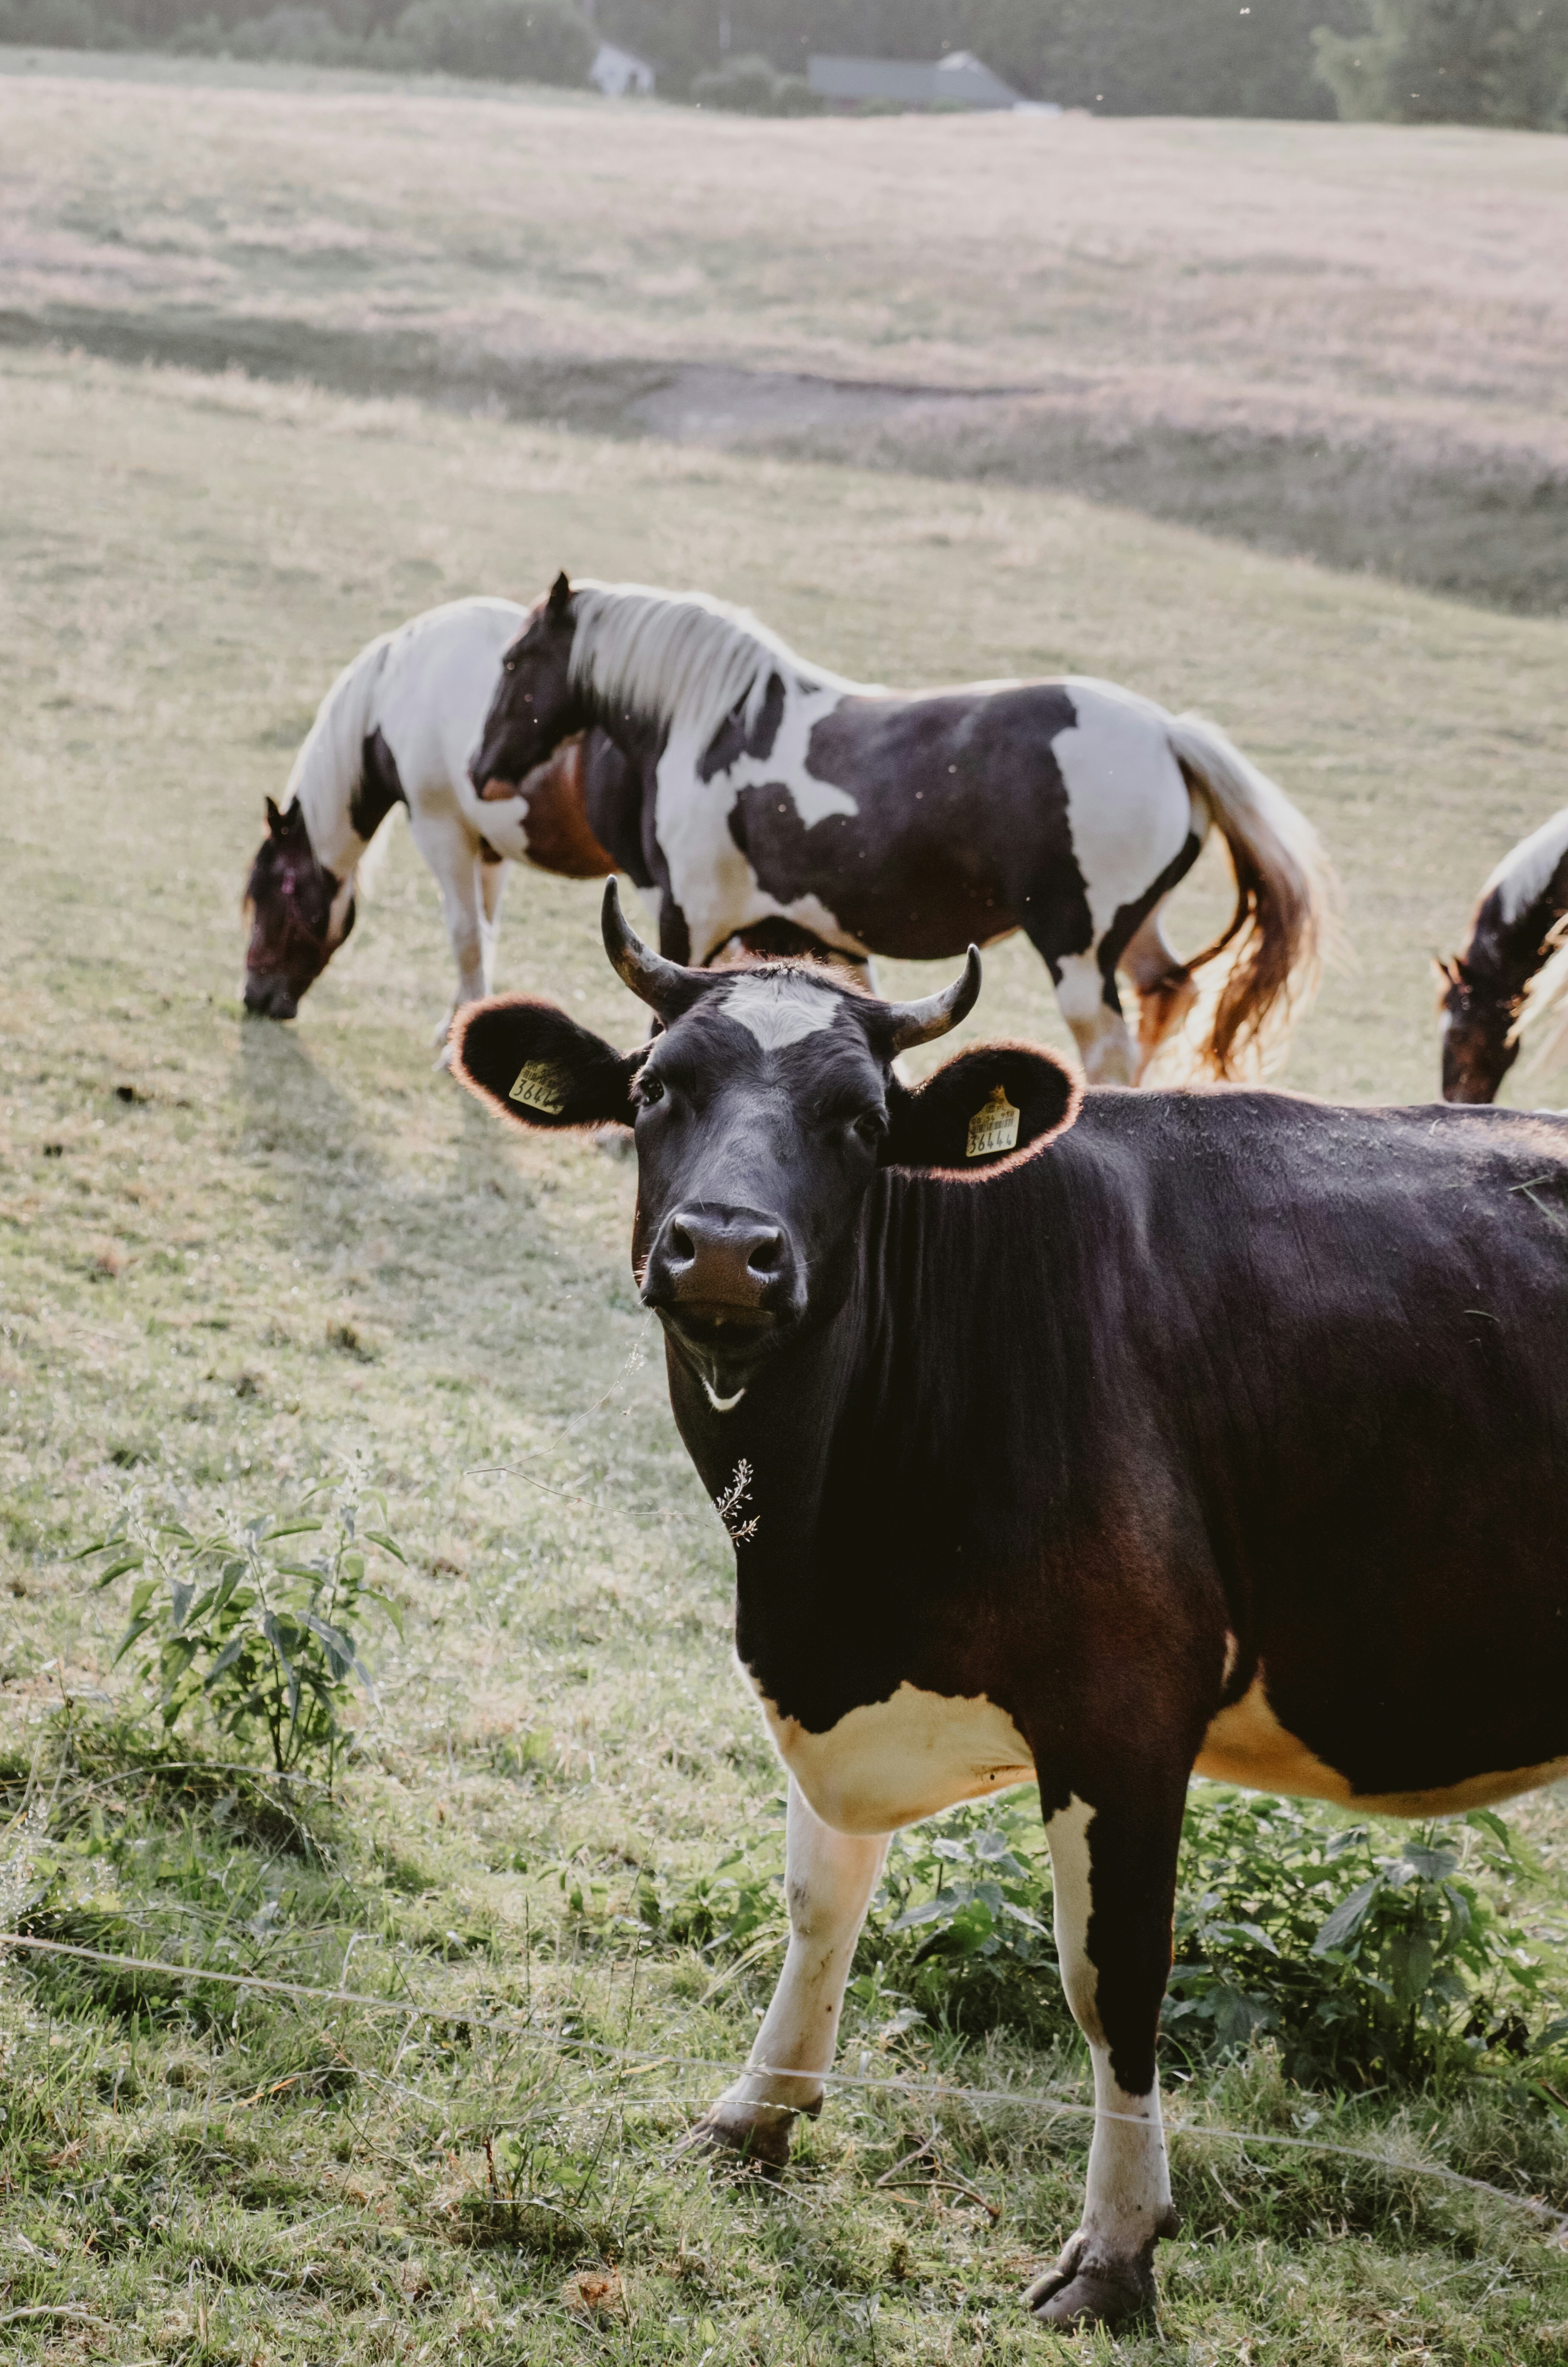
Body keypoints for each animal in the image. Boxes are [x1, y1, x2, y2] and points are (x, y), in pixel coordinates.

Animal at [452, 880, 1568, 2332]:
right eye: (652, 1088)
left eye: (861, 1121)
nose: (726, 1252)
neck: (820, 1548)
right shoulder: (836, 1684)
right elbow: (819, 1899)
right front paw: (753, 2113)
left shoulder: (1126, 1712)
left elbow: (1112, 1978)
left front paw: (1115, 2250)